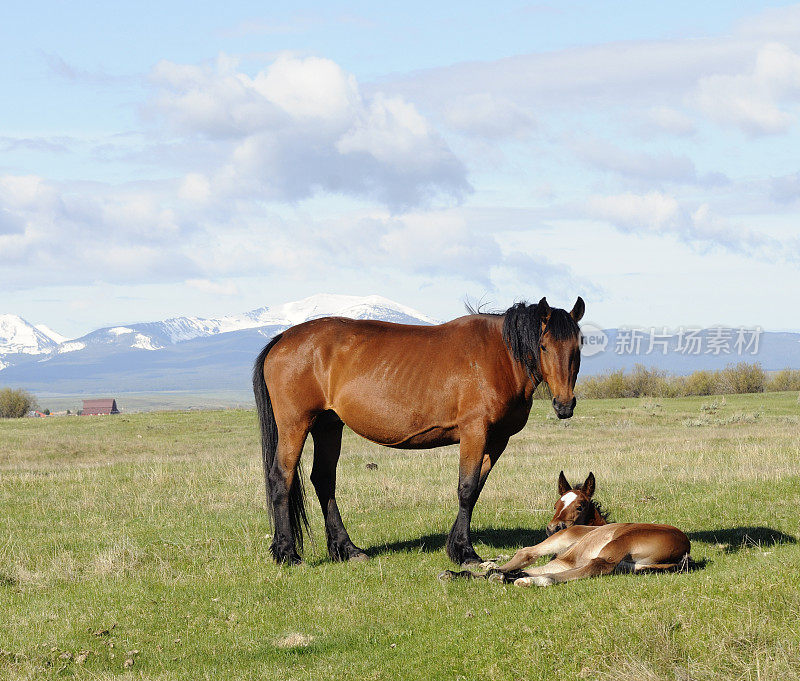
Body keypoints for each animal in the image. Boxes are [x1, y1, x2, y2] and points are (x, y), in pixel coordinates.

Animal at [253, 294, 584, 564]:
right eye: (543, 346)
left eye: (578, 347)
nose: (564, 405)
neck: (500, 356)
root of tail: (283, 338)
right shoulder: (474, 432)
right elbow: (466, 489)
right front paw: (465, 552)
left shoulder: (497, 439)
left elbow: (475, 489)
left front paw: (454, 544)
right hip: (295, 425)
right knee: (281, 478)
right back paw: (287, 553)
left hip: (328, 426)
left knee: (323, 480)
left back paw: (347, 549)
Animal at [440, 470, 692, 588]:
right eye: (555, 505)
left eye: (580, 506)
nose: (553, 527)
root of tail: (684, 549)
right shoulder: (564, 560)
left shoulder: (565, 544)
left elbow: (525, 555)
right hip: (628, 565)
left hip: (616, 543)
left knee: (595, 565)